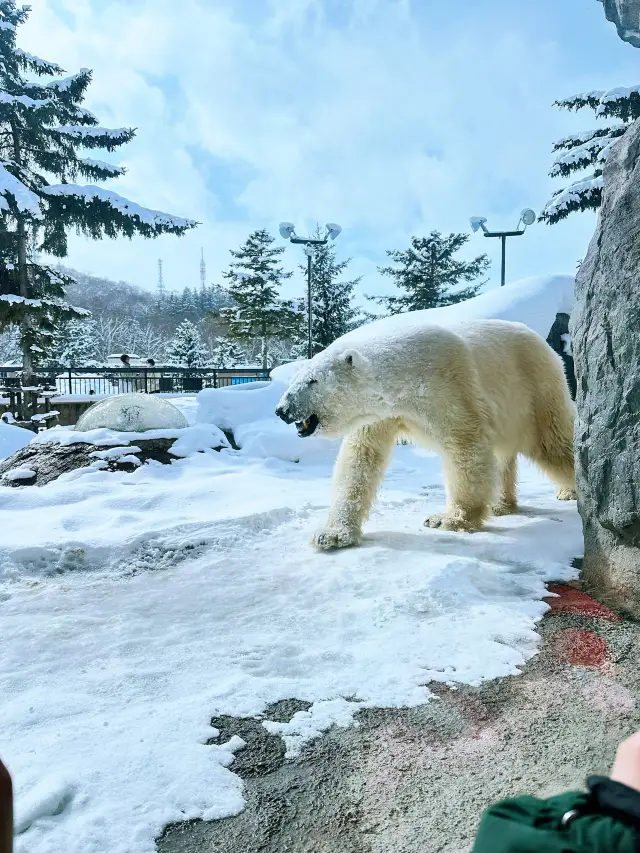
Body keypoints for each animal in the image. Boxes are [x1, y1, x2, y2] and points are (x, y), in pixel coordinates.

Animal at [276, 316, 576, 548]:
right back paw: (501, 505)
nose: (282, 410)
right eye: (294, 379)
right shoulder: (381, 414)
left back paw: (570, 489)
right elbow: (360, 458)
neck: (404, 375)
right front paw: (333, 534)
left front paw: (449, 518)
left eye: (313, 381)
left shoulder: (447, 387)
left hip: (535, 391)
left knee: (553, 442)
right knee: (503, 455)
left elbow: (465, 445)